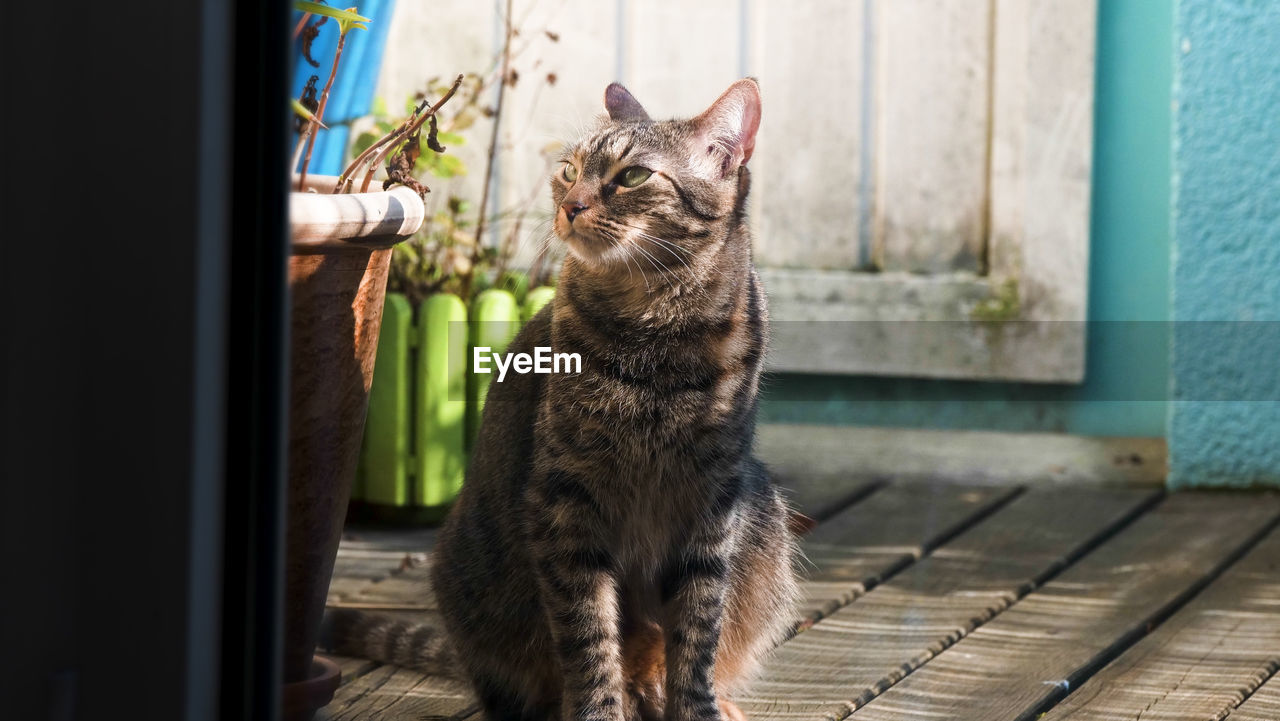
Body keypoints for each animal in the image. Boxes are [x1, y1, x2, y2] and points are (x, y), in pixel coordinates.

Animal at [325, 77, 793, 721]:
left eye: (633, 176)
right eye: (569, 171)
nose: (570, 204)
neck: (656, 332)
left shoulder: (714, 499)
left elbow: (697, 633)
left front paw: (695, 707)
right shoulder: (565, 500)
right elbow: (588, 633)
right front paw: (600, 709)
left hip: (764, 510)